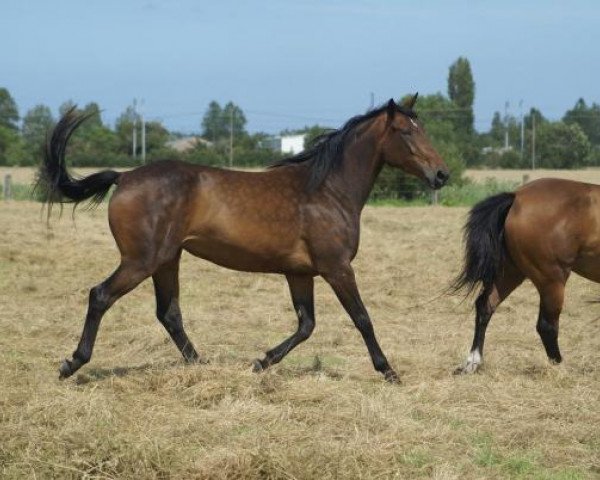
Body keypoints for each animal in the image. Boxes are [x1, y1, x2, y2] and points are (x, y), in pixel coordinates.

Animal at [38, 95, 450, 384]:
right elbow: (362, 318)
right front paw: (389, 372)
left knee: (169, 313)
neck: (328, 190)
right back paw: (72, 363)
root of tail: (124, 177)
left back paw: (200, 365)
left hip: (167, 260)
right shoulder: (337, 269)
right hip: (140, 261)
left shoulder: (299, 273)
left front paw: (260, 362)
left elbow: (306, 325)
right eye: (406, 131)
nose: (442, 174)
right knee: (101, 296)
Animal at [454, 178, 600, 374]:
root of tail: (517, 197)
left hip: (511, 272)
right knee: (546, 326)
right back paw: (560, 367)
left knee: (486, 305)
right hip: (551, 280)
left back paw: (473, 362)